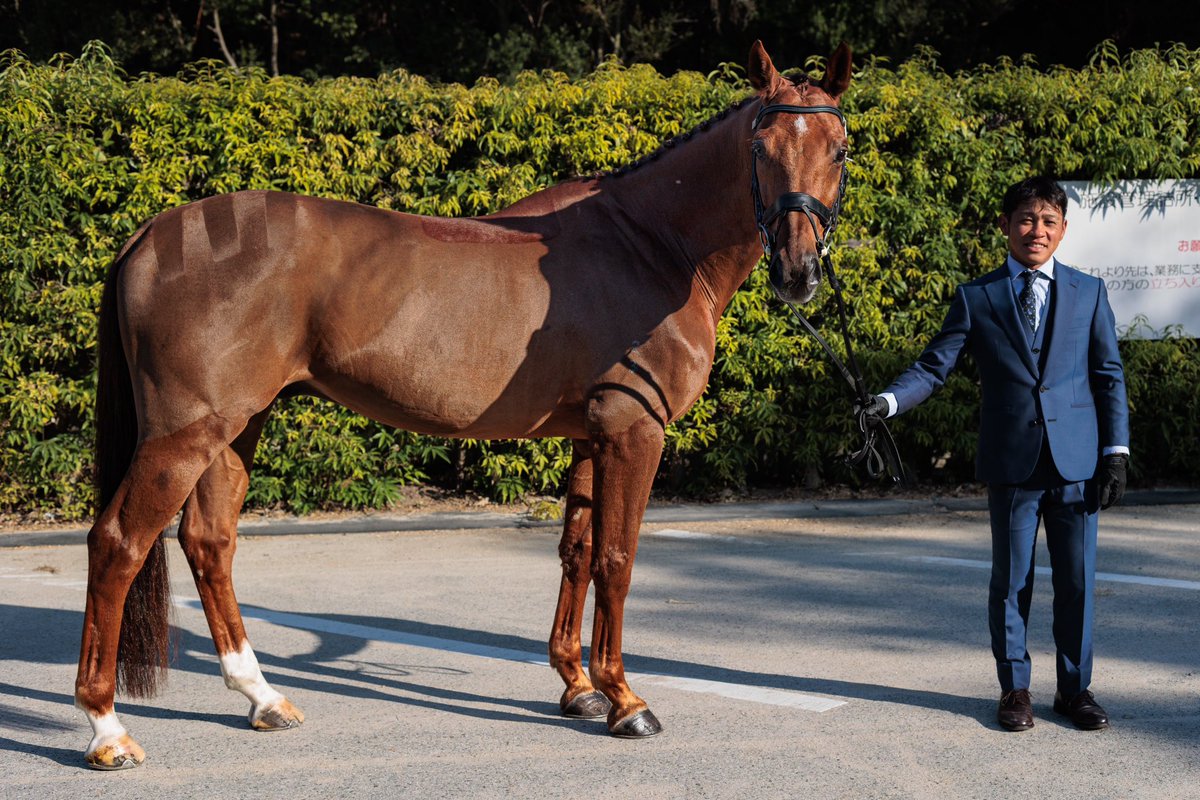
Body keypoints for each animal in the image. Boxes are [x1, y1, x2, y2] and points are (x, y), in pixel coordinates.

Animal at [74, 40, 852, 769]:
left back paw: (262, 697)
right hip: (185, 434)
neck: (650, 245)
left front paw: (578, 687)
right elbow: (617, 558)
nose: (798, 272)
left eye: (839, 150)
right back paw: (107, 729)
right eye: (761, 147)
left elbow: (576, 550)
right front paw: (625, 700)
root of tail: (151, 232)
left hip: (238, 425)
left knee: (209, 542)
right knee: (118, 544)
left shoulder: (589, 435)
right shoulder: (633, 431)